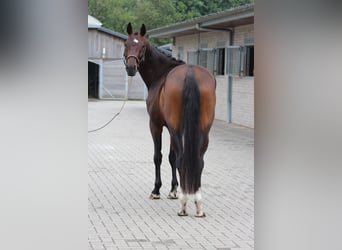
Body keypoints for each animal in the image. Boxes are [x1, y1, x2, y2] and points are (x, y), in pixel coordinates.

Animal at [123, 22, 215, 216]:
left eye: (142, 46)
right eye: (126, 44)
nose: (131, 68)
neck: (161, 75)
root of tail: (190, 73)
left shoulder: (157, 125)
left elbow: (159, 156)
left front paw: (157, 190)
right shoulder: (174, 129)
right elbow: (172, 157)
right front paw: (173, 190)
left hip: (174, 128)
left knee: (180, 158)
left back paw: (184, 203)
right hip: (204, 130)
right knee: (199, 160)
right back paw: (197, 202)